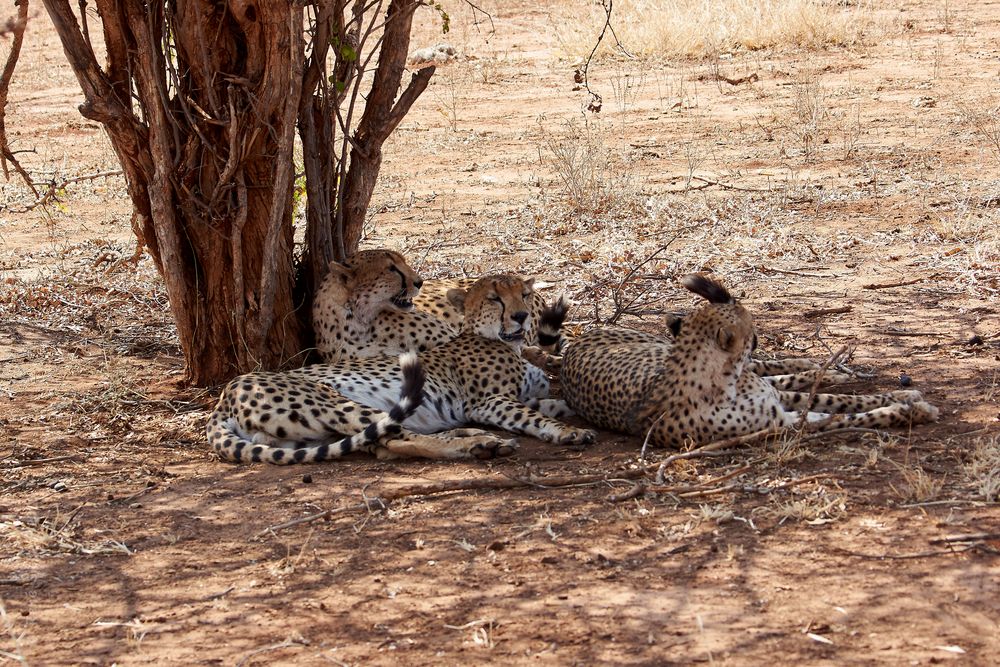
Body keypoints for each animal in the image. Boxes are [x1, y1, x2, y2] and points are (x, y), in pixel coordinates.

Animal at [207, 274, 588, 468]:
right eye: (495, 298)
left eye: (524, 294)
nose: (521, 316)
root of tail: (225, 396)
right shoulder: (489, 402)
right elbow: (535, 417)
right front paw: (569, 432)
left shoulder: (526, 396)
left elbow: (557, 402)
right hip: (335, 403)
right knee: (397, 437)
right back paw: (478, 444)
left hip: (309, 434)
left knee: (384, 444)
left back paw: (472, 438)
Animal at [560, 272, 940, 448]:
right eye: (748, 324)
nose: (756, 335)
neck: (722, 382)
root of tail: (576, 345)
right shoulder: (783, 423)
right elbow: (847, 415)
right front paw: (909, 410)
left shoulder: (777, 404)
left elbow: (842, 402)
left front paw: (906, 398)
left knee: (777, 373)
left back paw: (823, 369)